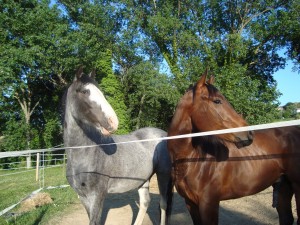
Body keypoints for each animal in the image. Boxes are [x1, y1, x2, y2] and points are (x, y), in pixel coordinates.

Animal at [63, 67, 172, 225]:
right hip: (143, 179)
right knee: (145, 202)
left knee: (163, 204)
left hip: (163, 174)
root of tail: (163, 134)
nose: (113, 121)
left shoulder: (97, 196)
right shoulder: (83, 197)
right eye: (84, 91)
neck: (85, 153)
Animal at [166, 71, 300, 224]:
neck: (194, 159)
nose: (249, 134)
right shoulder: (190, 203)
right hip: (284, 186)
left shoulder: (209, 204)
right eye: (217, 101)